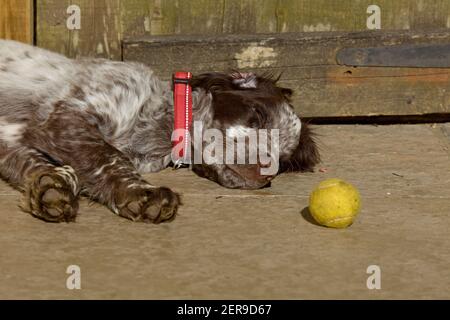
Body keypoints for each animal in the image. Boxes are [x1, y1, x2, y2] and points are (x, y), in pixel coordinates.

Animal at [0, 40, 320, 224]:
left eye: (284, 158)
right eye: (256, 116)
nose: (266, 174)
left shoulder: (13, 138)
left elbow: (33, 162)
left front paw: (48, 188)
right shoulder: (64, 116)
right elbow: (110, 157)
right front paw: (142, 194)